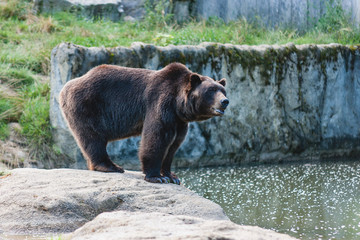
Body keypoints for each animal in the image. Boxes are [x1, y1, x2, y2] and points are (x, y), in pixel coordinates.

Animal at [58, 62, 228, 184]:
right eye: (211, 90)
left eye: (223, 90)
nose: (225, 101)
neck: (178, 104)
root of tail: (67, 85)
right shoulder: (160, 104)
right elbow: (156, 138)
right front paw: (157, 176)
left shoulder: (179, 121)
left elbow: (173, 145)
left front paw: (172, 176)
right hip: (87, 105)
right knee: (93, 138)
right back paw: (111, 166)